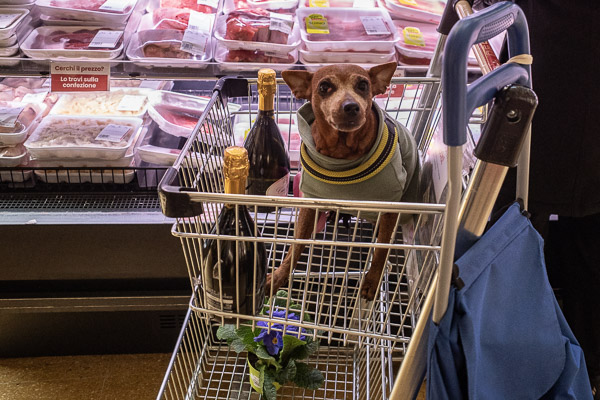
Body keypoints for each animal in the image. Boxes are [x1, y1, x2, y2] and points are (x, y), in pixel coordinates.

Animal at [270, 62, 420, 300]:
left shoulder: (390, 207)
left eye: (363, 85)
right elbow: (296, 245)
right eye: (324, 87)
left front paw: (372, 280)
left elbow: (381, 249)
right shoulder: (309, 204)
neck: (341, 154)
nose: (350, 106)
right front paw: (278, 275)